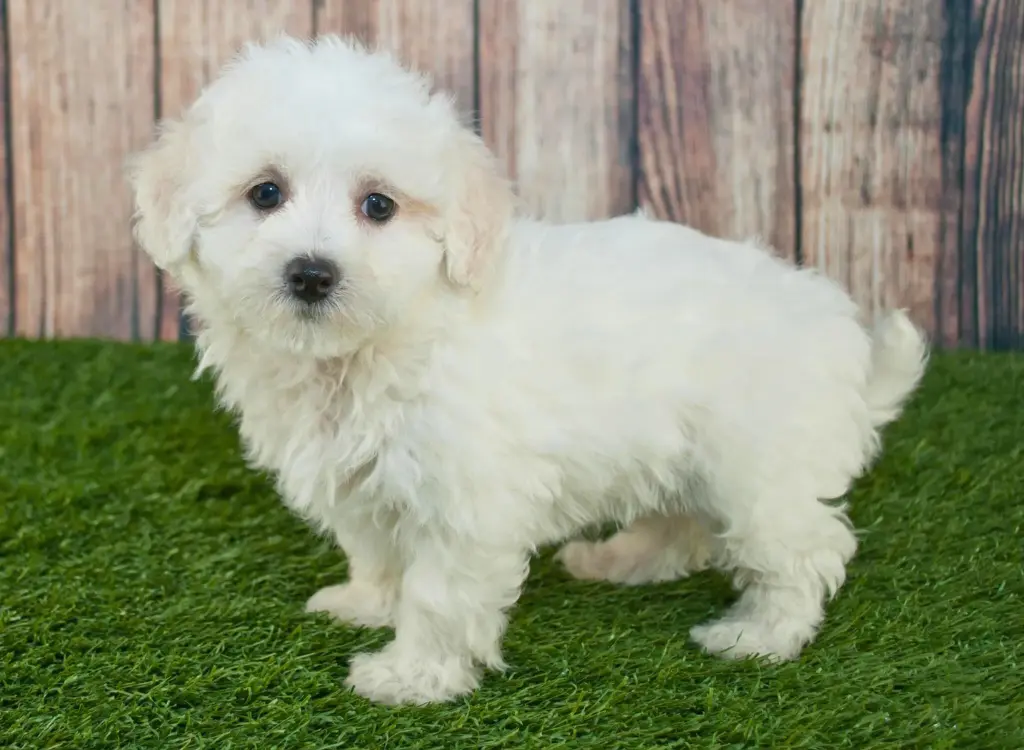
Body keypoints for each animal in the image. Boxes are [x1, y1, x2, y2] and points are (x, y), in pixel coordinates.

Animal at [128, 33, 929, 704]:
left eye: (378, 205)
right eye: (265, 193)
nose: (312, 273)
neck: (378, 344)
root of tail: (840, 333)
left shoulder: (462, 498)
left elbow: (438, 592)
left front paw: (413, 676)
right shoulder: (364, 483)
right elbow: (379, 552)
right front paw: (367, 603)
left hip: (759, 467)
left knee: (804, 549)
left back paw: (759, 634)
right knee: (684, 525)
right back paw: (619, 560)